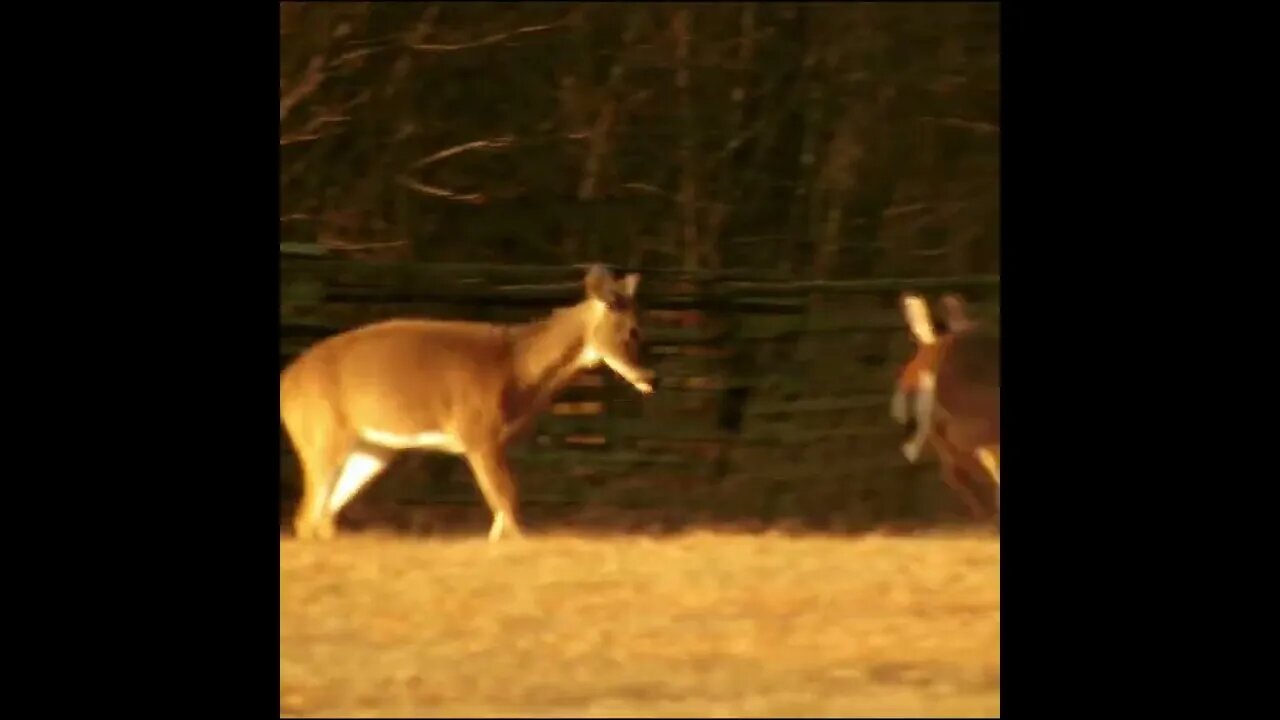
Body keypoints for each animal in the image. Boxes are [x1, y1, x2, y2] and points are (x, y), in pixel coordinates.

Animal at [284, 263, 655, 538]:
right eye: (631, 330)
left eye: (640, 325)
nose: (651, 377)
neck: (517, 368)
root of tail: (287, 383)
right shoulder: (479, 434)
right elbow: (508, 505)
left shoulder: (493, 442)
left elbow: (502, 512)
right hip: (322, 435)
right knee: (307, 515)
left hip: (373, 448)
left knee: (323, 515)